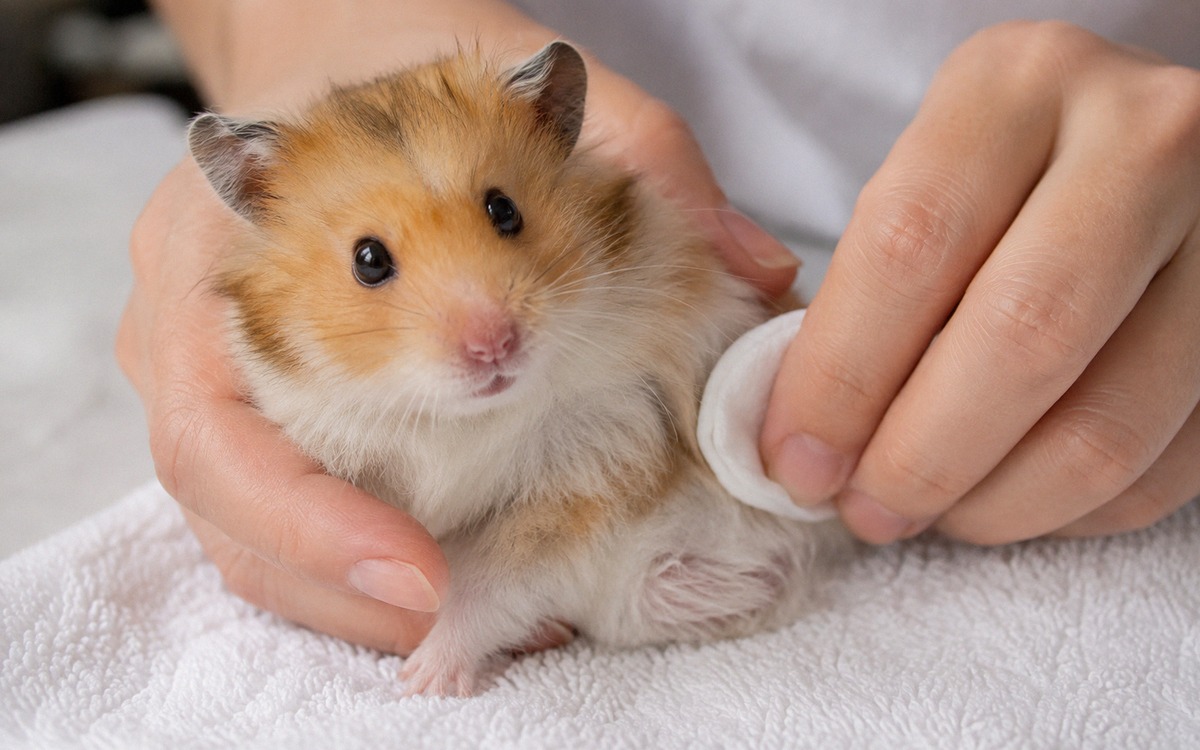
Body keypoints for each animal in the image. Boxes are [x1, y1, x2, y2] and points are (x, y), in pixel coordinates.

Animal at [187, 41, 849, 697]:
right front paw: (414, 681)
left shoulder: (586, 473)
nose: (494, 345)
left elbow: (489, 592)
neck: (467, 418)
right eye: (368, 259)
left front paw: (421, 683)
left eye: (503, 209)